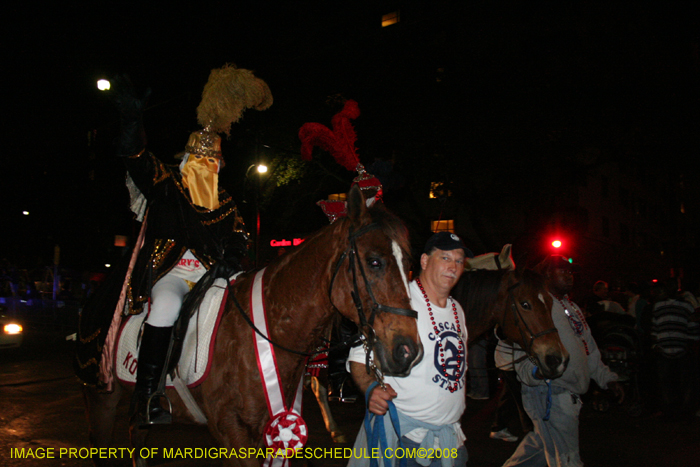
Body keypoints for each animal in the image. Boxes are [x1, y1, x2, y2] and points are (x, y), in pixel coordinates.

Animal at [82, 186, 422, 464]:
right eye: (374, 261)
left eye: (409, 264)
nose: (408, 351)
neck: (268, 330)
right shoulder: (232, 432)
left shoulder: (273, 426)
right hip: (101, 398)